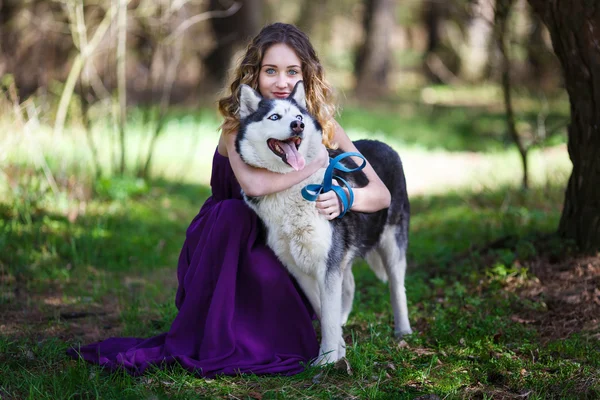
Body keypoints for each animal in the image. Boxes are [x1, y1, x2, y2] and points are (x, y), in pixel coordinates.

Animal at [237, 81, 410, 366]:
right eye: (274, 117)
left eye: (298, 116)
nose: (298, 125)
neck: (292, 186)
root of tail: (384, 143)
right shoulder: (301, 268)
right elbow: (324, 310)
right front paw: (337, 348)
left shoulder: (327, 265)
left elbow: (327, 315)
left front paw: (327, 362)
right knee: (349, 284)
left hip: (393, 244)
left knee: (397, 287)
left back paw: (403, 330)